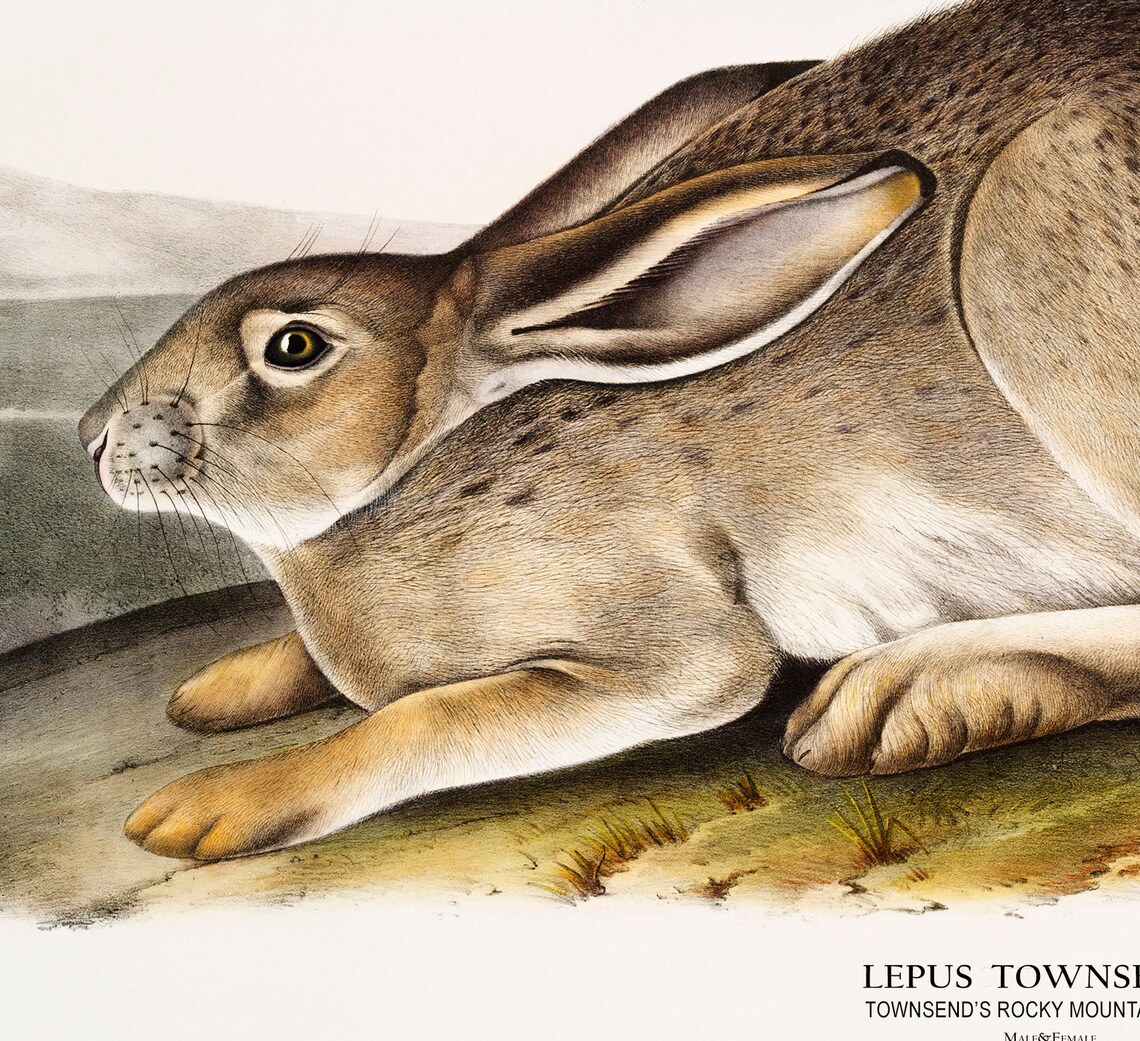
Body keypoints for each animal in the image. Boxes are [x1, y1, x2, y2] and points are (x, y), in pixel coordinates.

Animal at [77, 0, 1140, 861]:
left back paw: (912, 696)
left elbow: (422, 720)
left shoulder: (668, 646)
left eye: (293, 346)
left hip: (1033, 228)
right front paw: (217, 687)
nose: (90, 434)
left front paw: (205, 808)